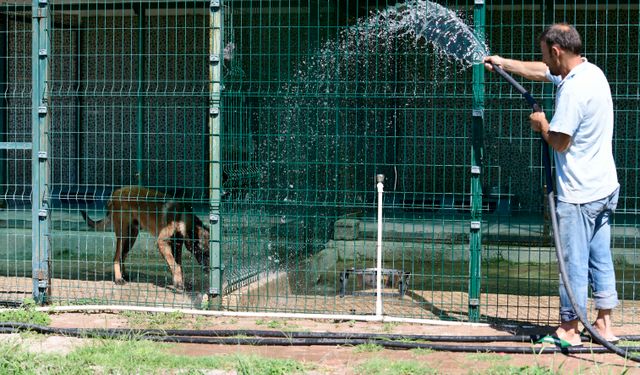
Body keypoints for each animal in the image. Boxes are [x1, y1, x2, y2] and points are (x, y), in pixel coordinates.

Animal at [79, 186, 210, 290]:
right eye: (203, 253)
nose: (209, 270)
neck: (183, 218)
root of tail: (116, 192)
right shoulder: (162, 242)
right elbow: (175, 265)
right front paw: (178, 284)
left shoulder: (177, 245)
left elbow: (178, 265)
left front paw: (179, 281)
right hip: (123, 234)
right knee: (116, 257)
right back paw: (118, 279)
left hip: (132, 236)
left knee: (123, 255)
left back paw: (124, 275)